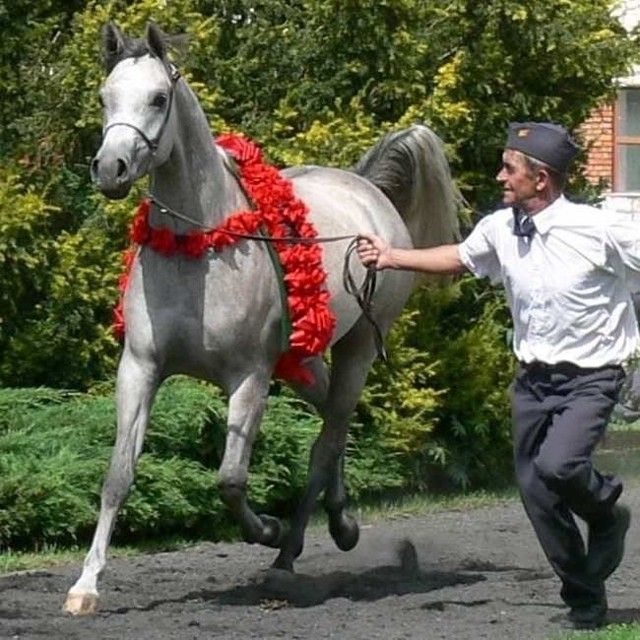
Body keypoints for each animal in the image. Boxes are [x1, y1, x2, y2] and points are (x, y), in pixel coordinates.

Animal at [65, 22, 462, 616]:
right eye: (103, 97)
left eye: (158, 98)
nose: (110, 169)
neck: (199, 248)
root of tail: (368, 190)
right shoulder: (140, 368)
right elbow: (118, 475)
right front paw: (86, 585)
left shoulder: (249, 377)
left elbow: (230, 479)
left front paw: (267, 529)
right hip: (301, 360)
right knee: (332, 424)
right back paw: (341, 521)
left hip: (357, 351)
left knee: (326, 441)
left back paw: (289, 552)